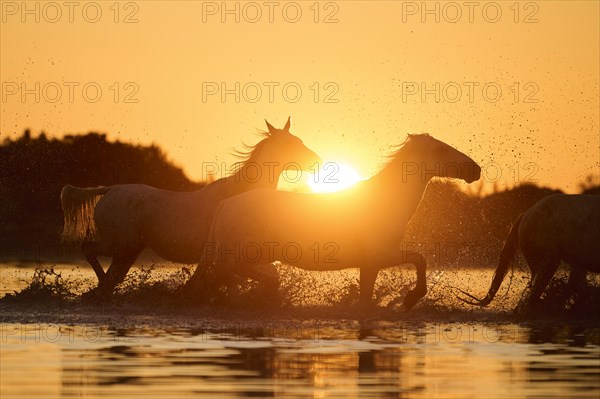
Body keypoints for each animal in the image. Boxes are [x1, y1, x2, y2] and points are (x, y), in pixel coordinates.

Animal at [61, 119, 322, 300]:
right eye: (292, 143)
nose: (317, 161)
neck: (240, 195)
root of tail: (111, 190)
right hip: (119, 244)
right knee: (89, 250)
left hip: (128, 250)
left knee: (113, 274)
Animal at [192, 134, 482, 310]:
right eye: (440, 148)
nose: (476, 170)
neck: (385, 201)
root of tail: (226, 205)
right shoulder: (381, 255)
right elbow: (420, 259)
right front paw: (412, 298)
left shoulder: (370, 265)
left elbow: (366, 298)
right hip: (241, 256)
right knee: (230, 273)